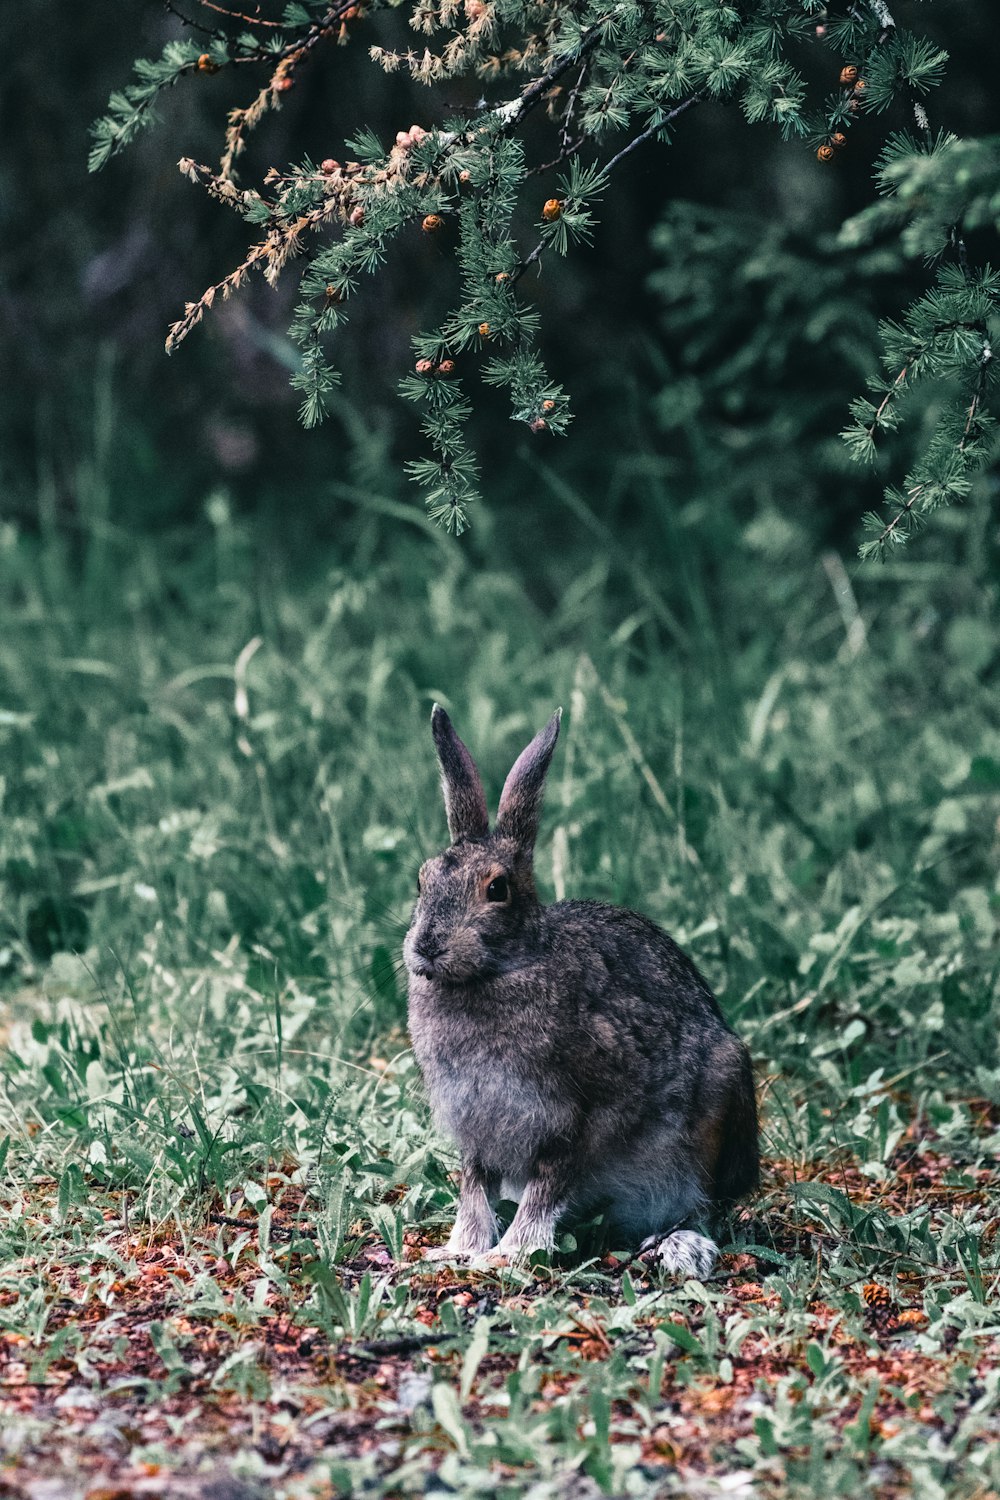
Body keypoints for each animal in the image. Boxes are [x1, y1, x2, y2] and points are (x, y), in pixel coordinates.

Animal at [401, 705, 758, 1278]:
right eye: (422, 879)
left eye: (497, 889)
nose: (428, 946)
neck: (499, 970)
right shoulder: (473, 1127)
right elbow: (474, 1189)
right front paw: (460, 1250)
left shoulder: (578, 1118)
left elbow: (546, 1189)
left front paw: (509, 1255)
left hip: (717, 1109)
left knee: (702, 1206)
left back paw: (677, 1245)